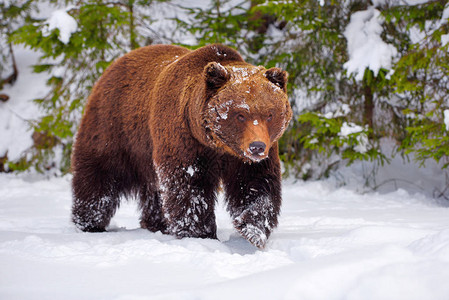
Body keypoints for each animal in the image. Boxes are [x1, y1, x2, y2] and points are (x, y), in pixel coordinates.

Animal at [72, 44, 292, 248]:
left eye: (269, 114)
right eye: (240, 115)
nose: (257, 147)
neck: (217, 145)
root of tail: (113, 66)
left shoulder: (246, 156)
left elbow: (256, 184)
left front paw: (253, 230)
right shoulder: (184, 140)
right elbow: (188, 187)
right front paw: (200, 234)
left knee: (154, 189)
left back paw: (157, 223)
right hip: (114, 128)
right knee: (98, 175)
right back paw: (89, 223)